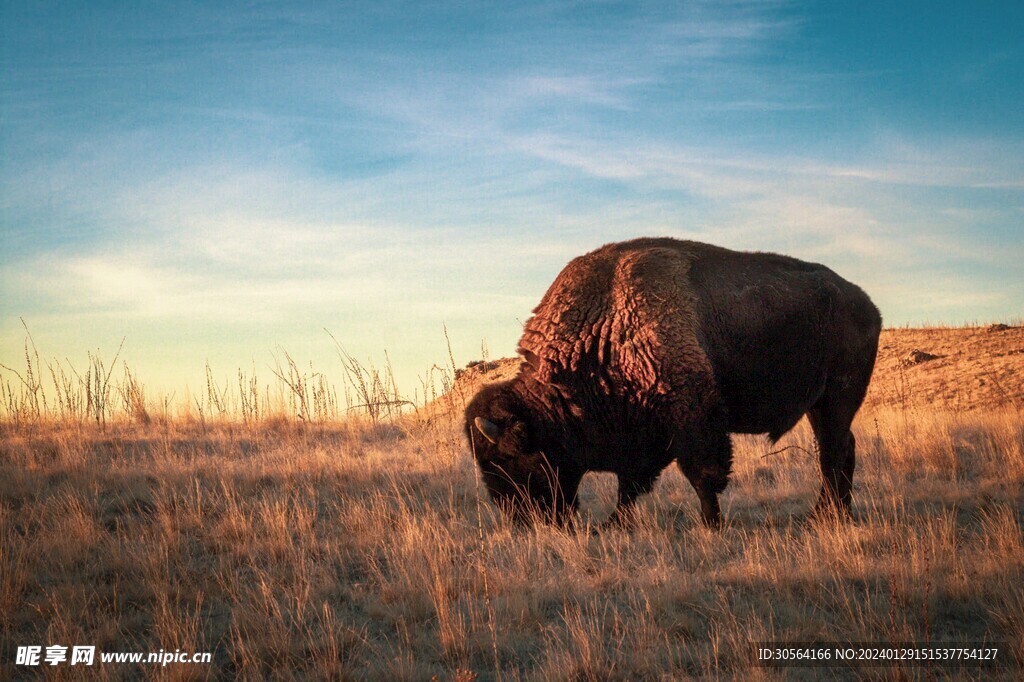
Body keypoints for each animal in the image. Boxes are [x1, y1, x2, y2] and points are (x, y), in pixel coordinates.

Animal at [464, 237, 880, 524]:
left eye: (511, 460)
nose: (525, 521)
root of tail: (867, 305)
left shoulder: (694, 422)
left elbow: (701, 475)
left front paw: (710, 524)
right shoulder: (642, 437)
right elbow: (631, 485)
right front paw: (613, 524)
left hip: (837, 398)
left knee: (833, 454)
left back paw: (826, 516)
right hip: (820, 405)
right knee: (841, 450)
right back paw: (829, 514)